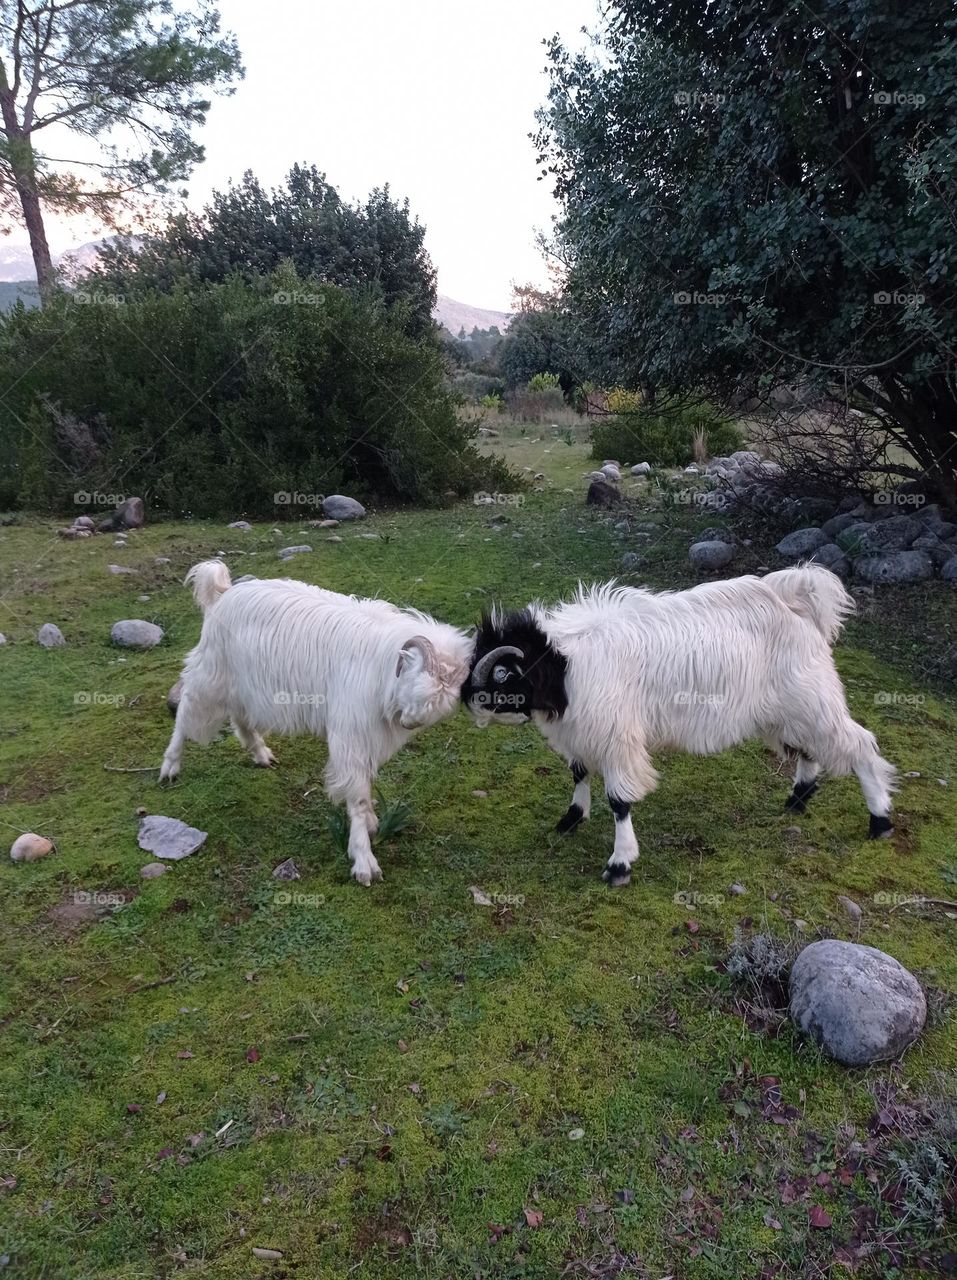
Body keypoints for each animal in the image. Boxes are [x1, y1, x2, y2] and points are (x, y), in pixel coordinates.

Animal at [160, 561, 473, 885]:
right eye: (418, 686)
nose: (410, 723)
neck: (382, 665)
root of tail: (222, 594)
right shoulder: (350, 734)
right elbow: (357, 796)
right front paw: (364, 859)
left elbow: (365, 786)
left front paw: (371, 823)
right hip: (211, 673)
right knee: (186, 710)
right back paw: (170, 766)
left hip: (242, 683)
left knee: (240, 716)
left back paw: (261, 754)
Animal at [462, 564, 896, 886]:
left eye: (500, 673)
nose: (465, 697)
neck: (564, 663)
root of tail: (799, 599)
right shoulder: (584, 732)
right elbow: (579, 772)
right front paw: (571, 819)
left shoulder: (618, 737)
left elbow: (619, 801)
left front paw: (619, 864)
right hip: (787, 710)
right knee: (807, 747)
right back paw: (798, 799)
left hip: (814, 699)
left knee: (860, 745)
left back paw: (880, 821)